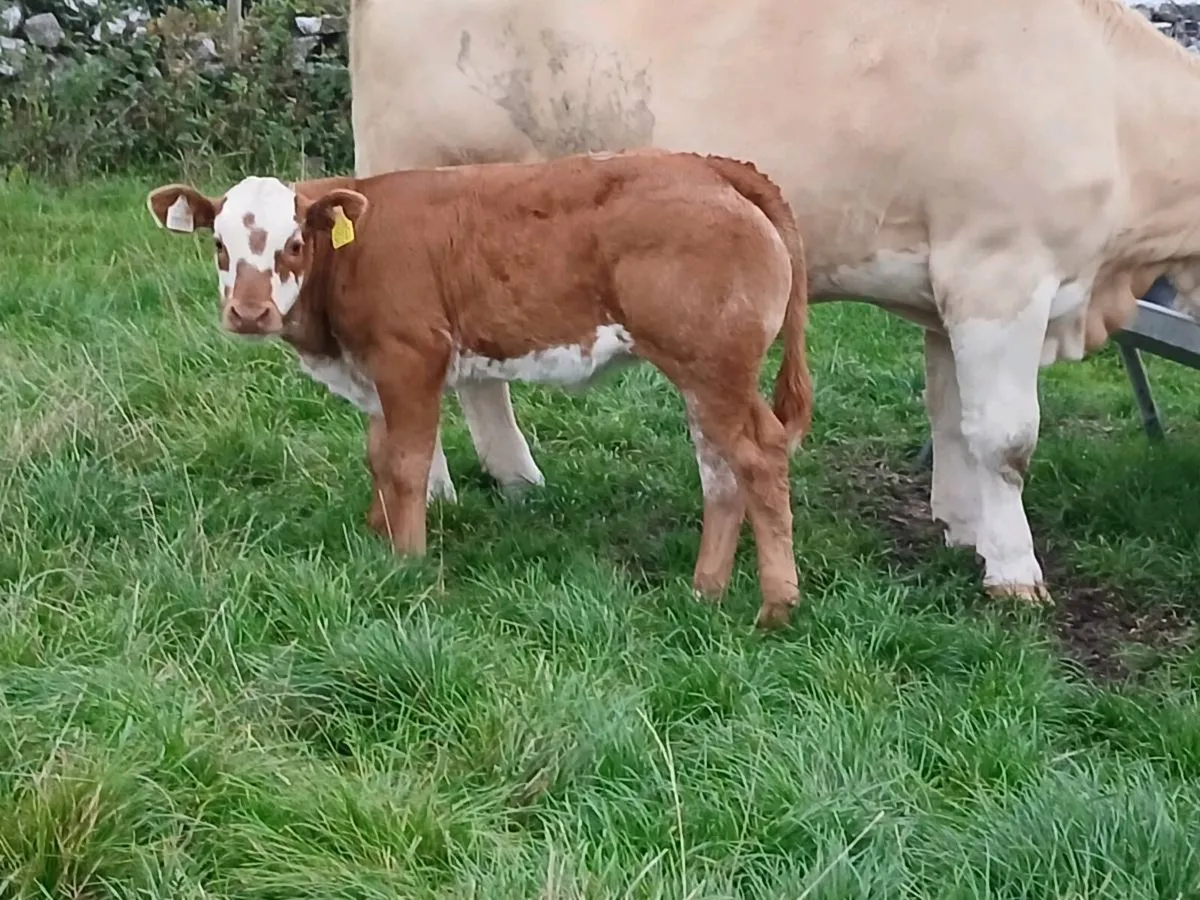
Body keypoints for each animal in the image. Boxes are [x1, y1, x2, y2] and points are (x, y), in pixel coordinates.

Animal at [145, 150, 813, 629]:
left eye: (293, 243)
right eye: (218, 244)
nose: (248, 313)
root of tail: (708, 166)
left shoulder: (412, 355)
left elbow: (408, 465)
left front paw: (407, 562)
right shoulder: (375, 372)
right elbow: (379, 457)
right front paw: (378, 539)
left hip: (715, 366)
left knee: (758, 457)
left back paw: (776, 605)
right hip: (704, 374)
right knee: (721, 471)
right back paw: (706, 591)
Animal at [346, 0, 1200, 605]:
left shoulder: (946, 291)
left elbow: (951, 415)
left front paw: (965, 529)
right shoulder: (998, 271)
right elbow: (1006, 439)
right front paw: (1015, 571)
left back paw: (516, 479)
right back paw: (436, 487)